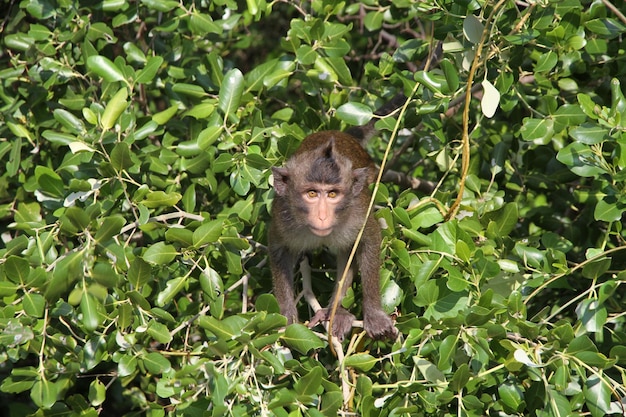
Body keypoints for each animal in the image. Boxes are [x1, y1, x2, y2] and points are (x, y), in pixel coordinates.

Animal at [266, 128, 394, 340]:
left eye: (333, 194)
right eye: (311, 193)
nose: (323, 216)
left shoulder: (358, 212)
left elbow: (369, 240)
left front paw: (375, 315)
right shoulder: (282, 217)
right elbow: (279, 248)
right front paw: (287, 315)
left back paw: (336, 311)